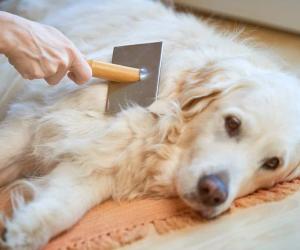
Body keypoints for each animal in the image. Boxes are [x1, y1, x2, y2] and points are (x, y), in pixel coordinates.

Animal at [0, 0, 300, 250]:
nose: (213, 192)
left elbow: (63, 207)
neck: (158, 127)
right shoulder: (33, 118)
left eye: (272, 163)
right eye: (233, 123)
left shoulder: (100, 164)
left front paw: (21, 231)